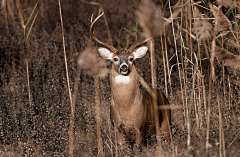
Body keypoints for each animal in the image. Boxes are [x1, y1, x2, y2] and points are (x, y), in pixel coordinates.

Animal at [90, 12, 171, 148]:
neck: (125, 109)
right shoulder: (116, 127)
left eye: (131, 58)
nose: (124, 67)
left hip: (165, 124)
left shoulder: (140, 128)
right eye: (115, 59)